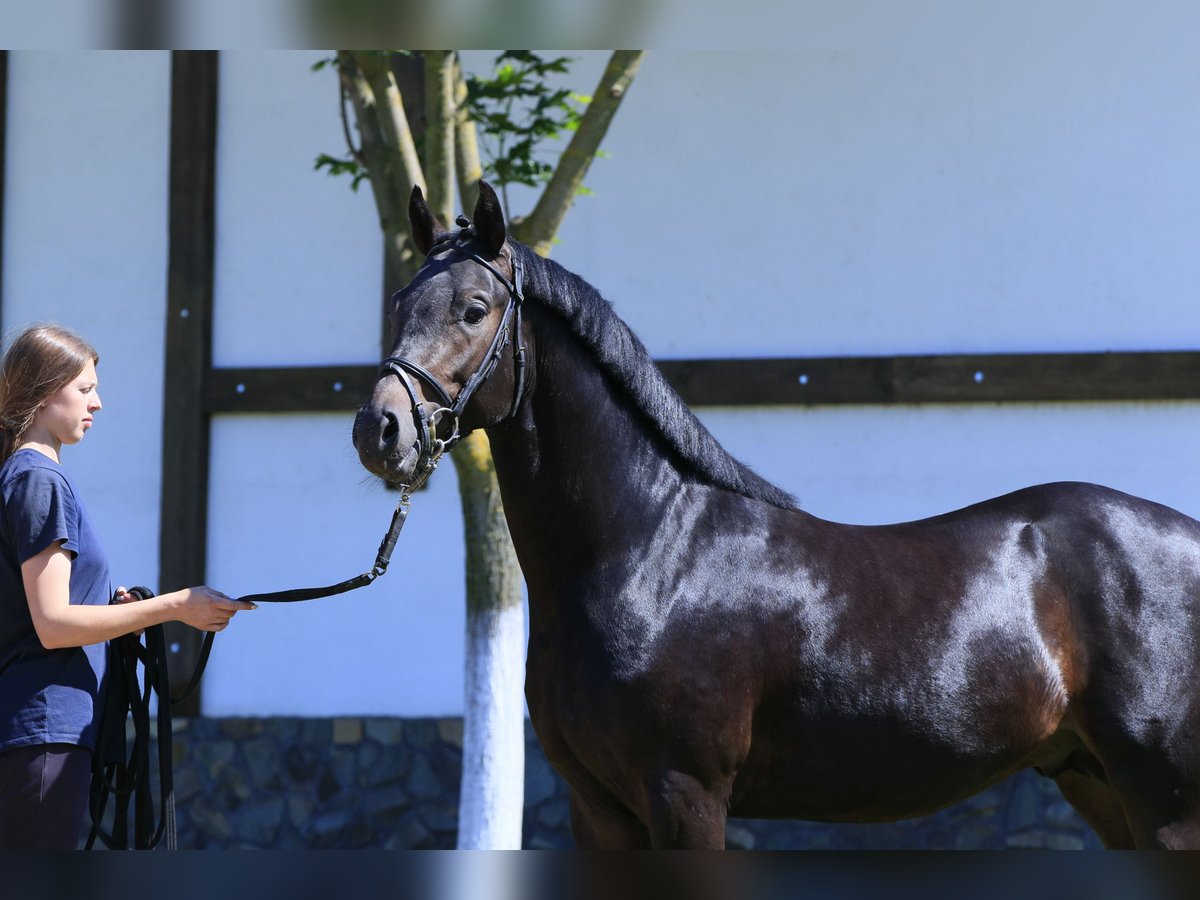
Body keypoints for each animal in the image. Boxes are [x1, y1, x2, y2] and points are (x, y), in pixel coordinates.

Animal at [350, 184, 1200, 854]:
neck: (649, 557)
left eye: (474, 308)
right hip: (1094, 780)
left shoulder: (685, 795)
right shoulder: (600, 812)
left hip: (1163, 799)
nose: (380, 430)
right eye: (397, 303)